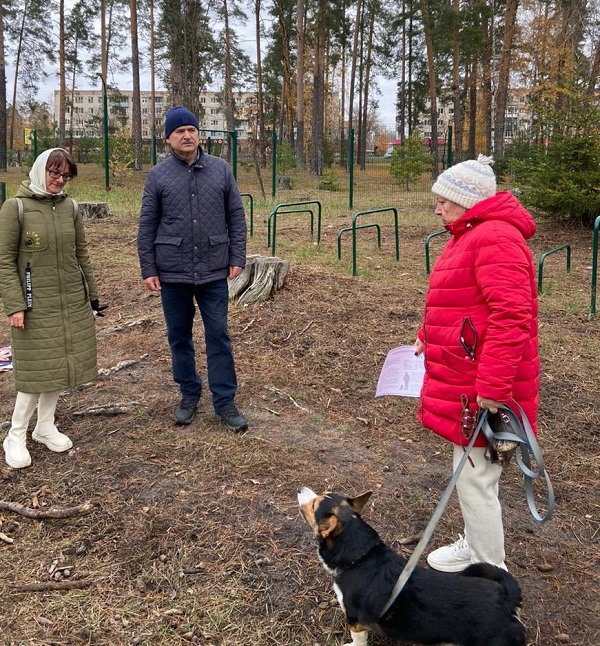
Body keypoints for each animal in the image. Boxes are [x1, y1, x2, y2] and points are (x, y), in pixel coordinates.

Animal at [296, 488, 524, 644]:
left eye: (314, 504)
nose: (299, 489)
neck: (360, 557)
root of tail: (504, 598)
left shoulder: (355, 620)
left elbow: (358, 640)